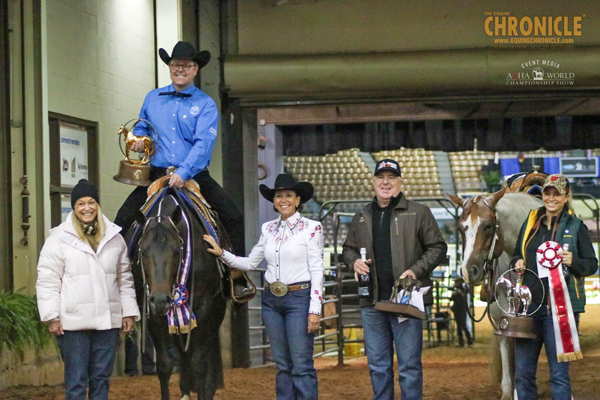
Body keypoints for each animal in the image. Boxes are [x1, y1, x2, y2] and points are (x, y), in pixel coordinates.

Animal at [127, 190, 229, 400]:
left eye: (177, 251)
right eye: (143, 251)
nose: (160, 300)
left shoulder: (203, 309)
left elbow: (199, 363)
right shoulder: (155, 315)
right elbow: (165, 366)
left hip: (214, 314)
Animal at [446, 188, 544, 400]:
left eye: (488, 226)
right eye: (460, 228)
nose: (469, 271)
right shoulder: (504, 311)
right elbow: (508, 344)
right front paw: (509, 391)